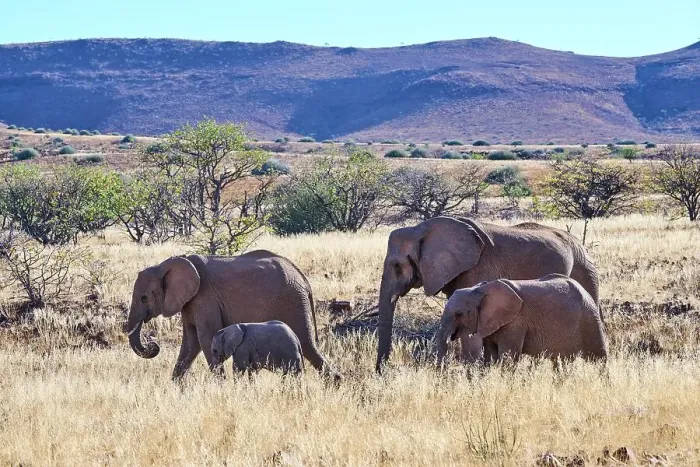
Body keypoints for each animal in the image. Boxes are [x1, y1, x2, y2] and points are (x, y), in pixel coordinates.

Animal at [126, 250, 340, 381]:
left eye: (144, 298)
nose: (153, 345)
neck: (165, 264)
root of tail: (302, 277)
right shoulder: (190, 302)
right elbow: (190, 342)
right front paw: (176, 389)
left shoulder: (205, 298)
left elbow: (205, 338)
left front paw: (221, 386)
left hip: (292, 300)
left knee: (306, 342)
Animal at [435, 275, 608, 364]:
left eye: (459, 314)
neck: (480, 289)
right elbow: (491, 356)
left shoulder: (515, 323)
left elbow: (508, 358)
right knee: (561, 362)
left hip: (589, 318)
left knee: (599, 358)